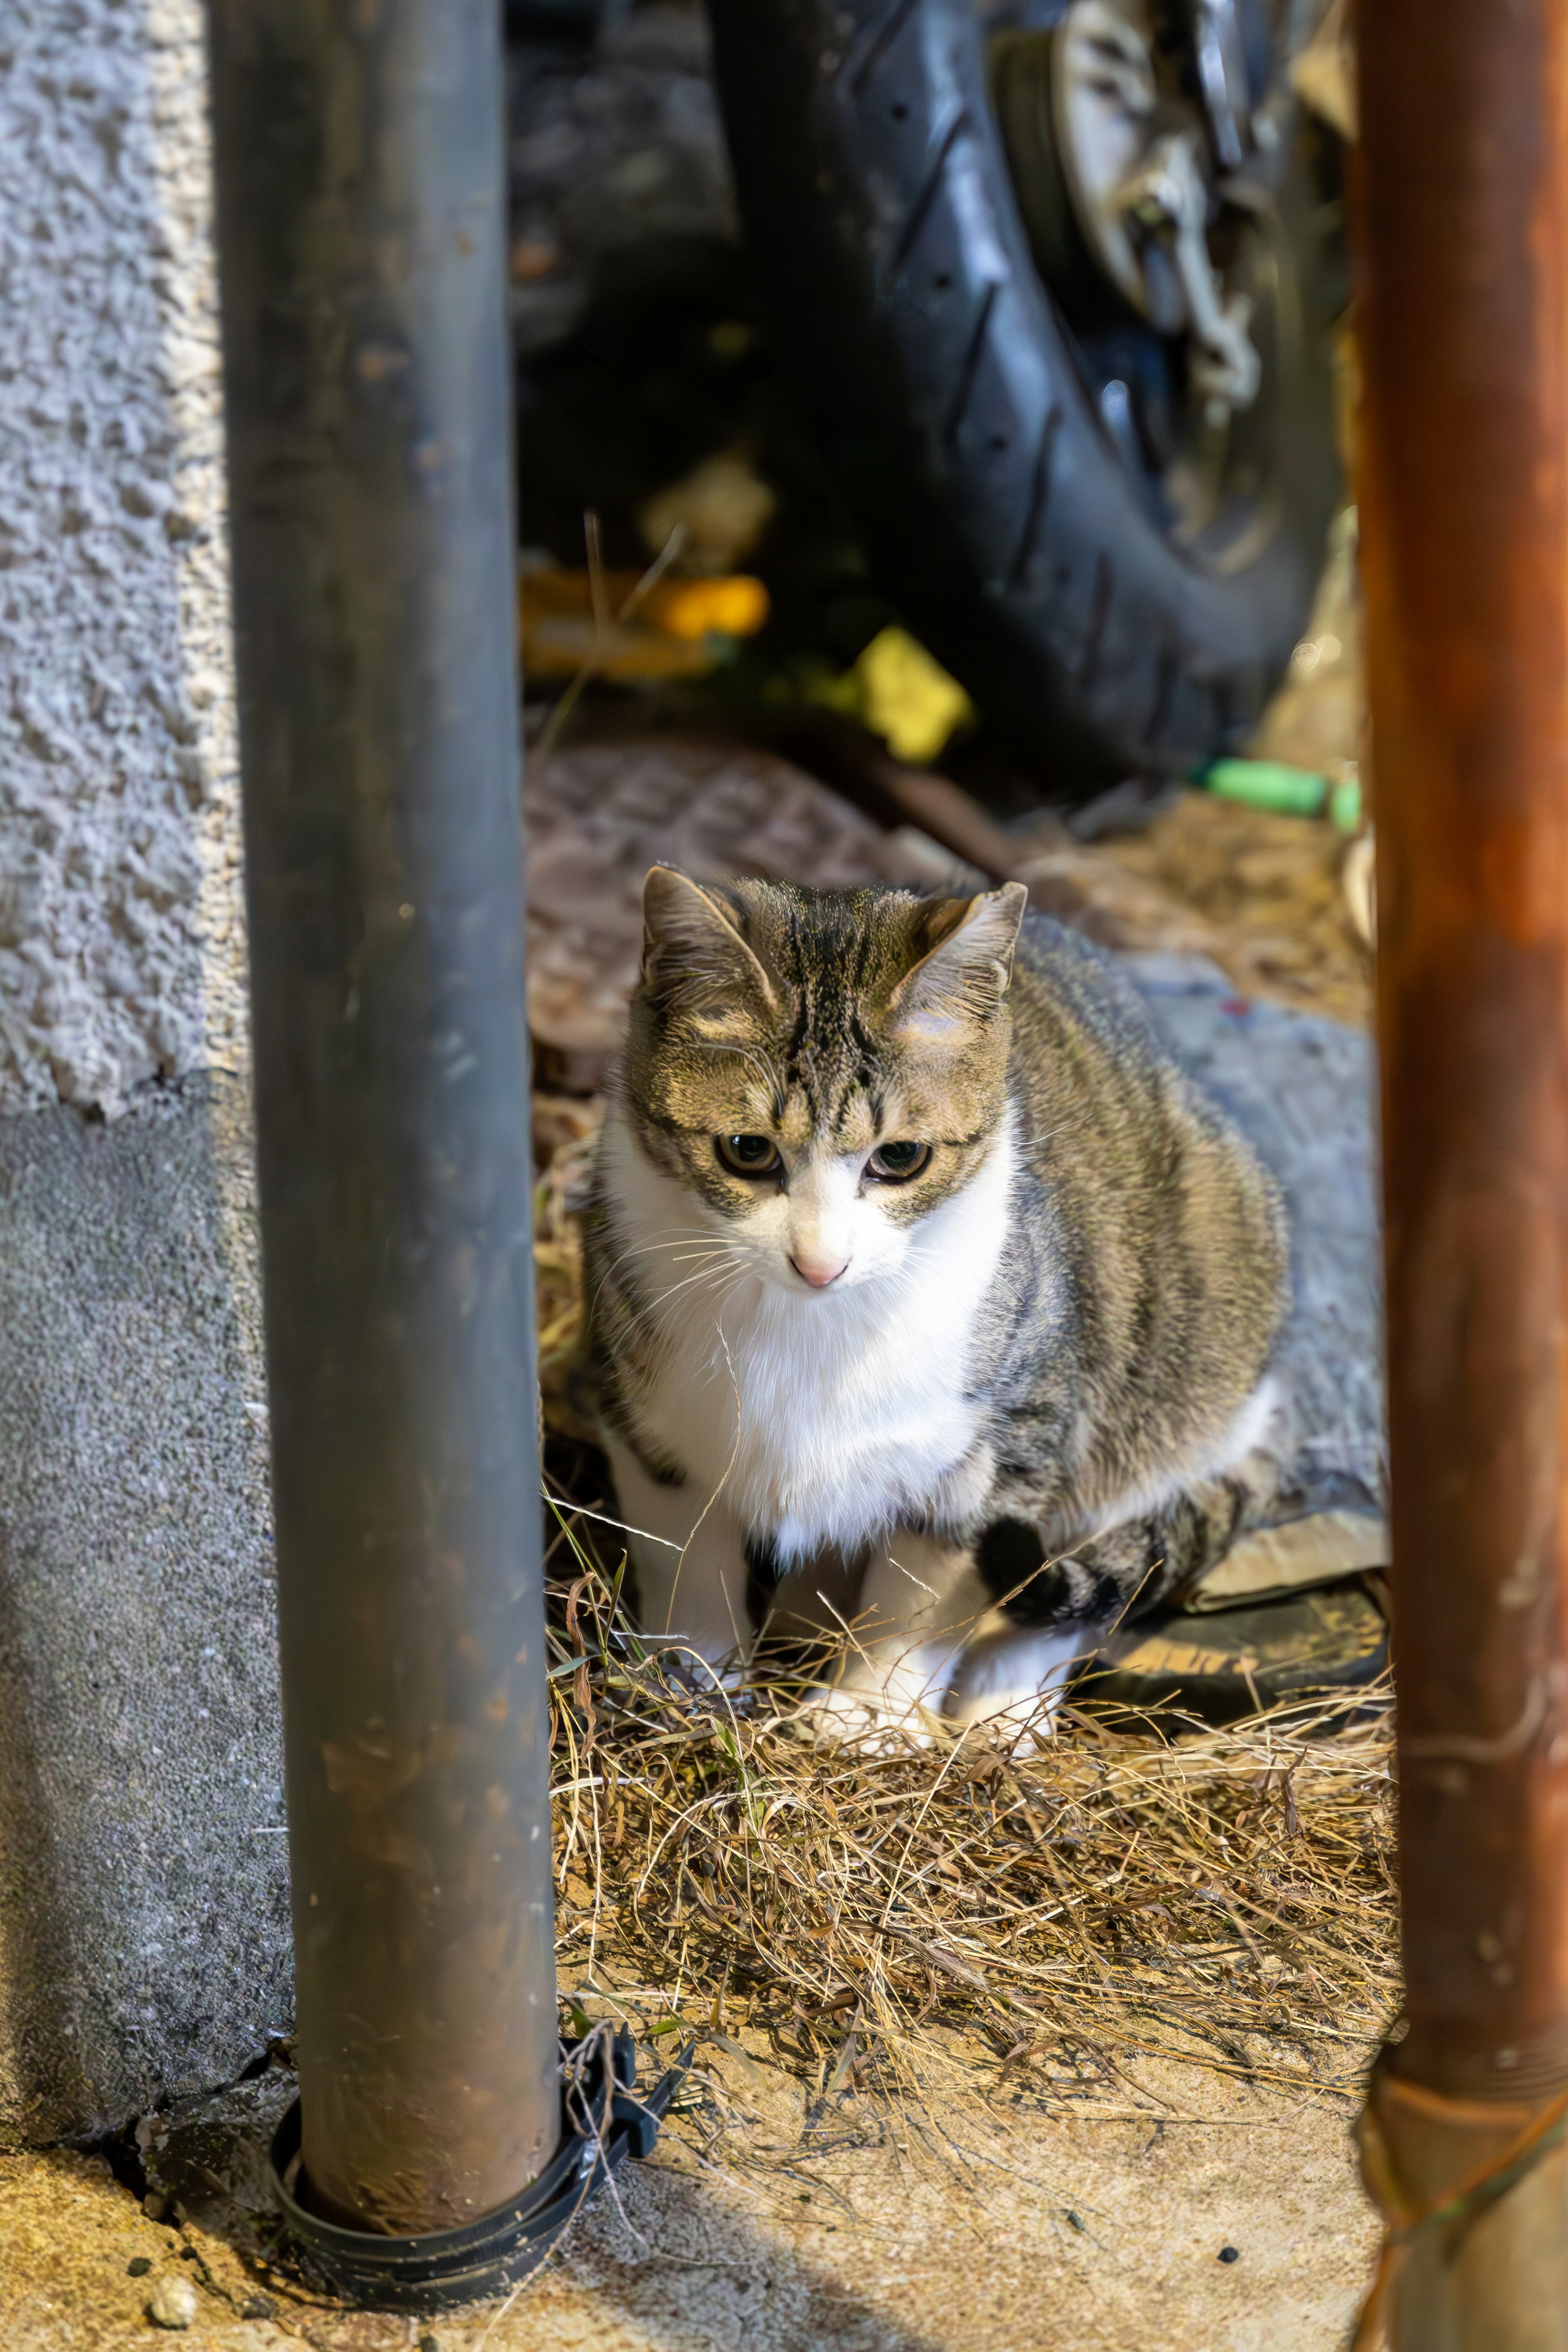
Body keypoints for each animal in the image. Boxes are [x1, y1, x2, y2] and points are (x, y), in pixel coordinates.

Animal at [583, 865, 1297, 1731]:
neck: (811, 1328)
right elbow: (684, 1554)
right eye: (747, 1149)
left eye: (901, 1158)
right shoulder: (644, 1412)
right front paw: (694, 1680)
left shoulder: (1006, 1443)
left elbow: (926, 1595)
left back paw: (1003, 1708)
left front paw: (871, 1715)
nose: (821, 1262)